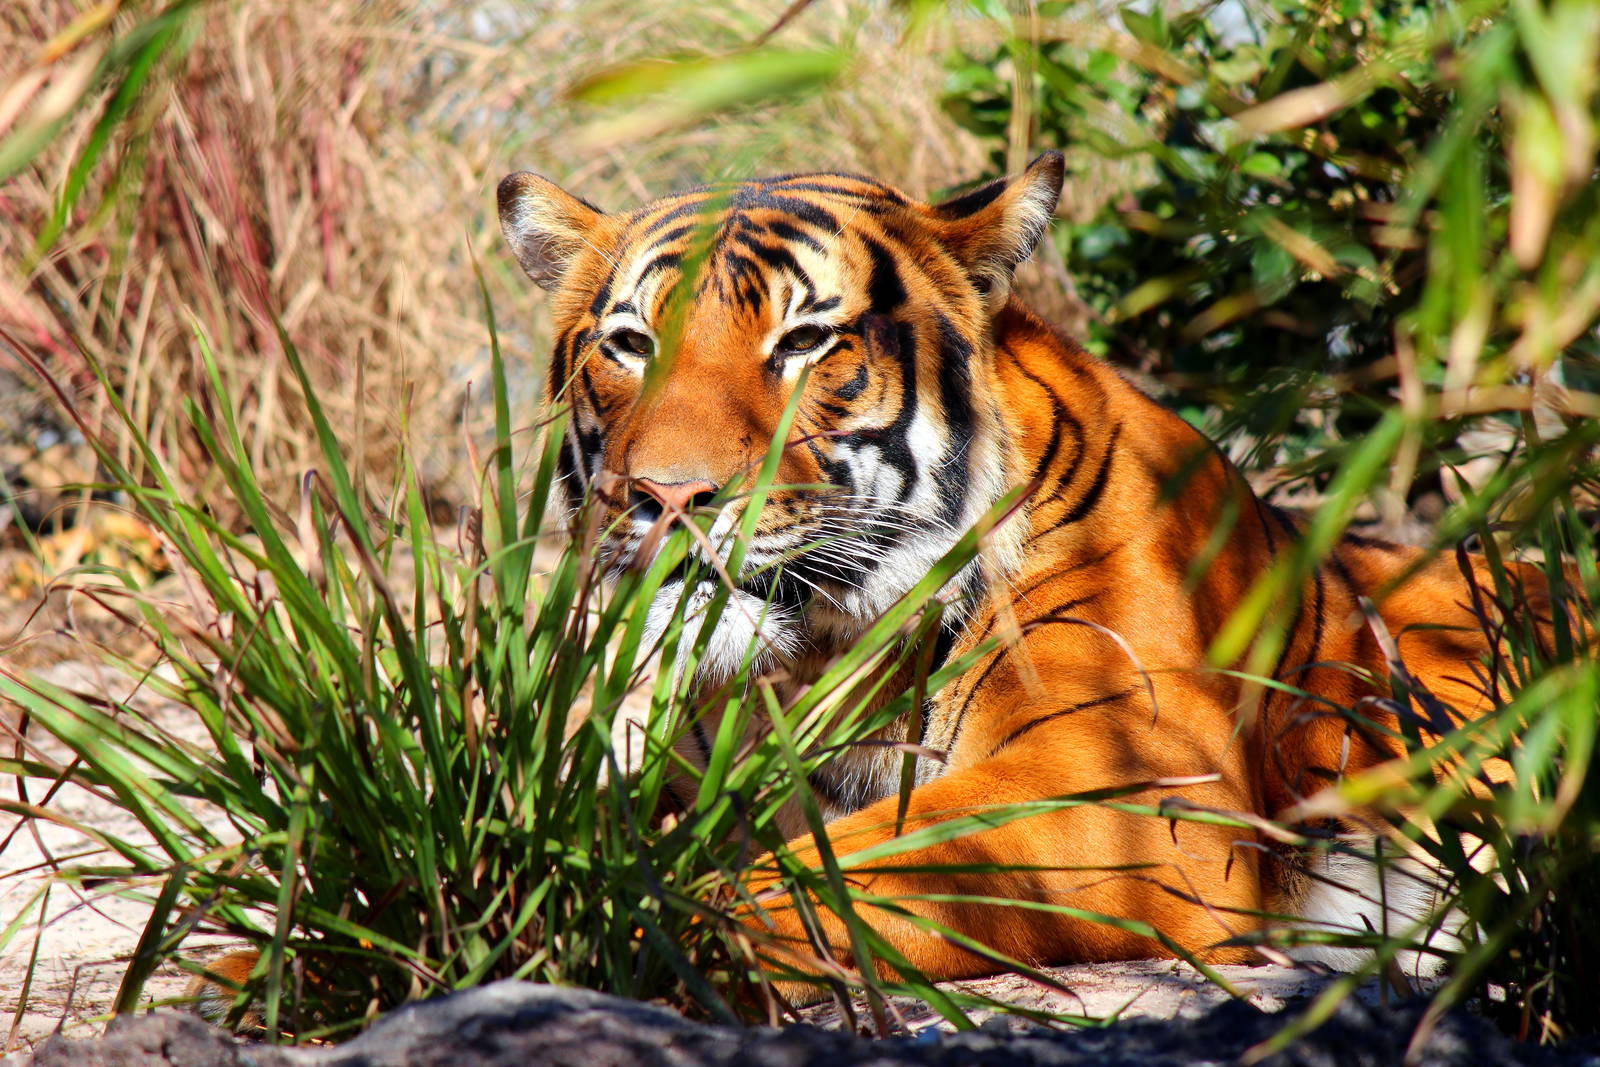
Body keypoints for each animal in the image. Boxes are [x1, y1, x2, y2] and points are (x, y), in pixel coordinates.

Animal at [488, 152, 1583, 986]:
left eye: (803, 341)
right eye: (631, 343)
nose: (666, 496)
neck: (815, 652)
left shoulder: (1124, 785)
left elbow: (832, 871)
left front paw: (618, 932)